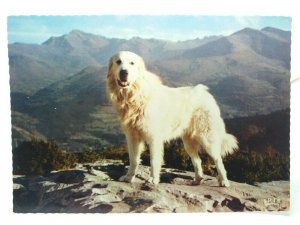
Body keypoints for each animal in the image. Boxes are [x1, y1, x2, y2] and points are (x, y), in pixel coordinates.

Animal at [106, 51, 238, 187]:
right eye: (118, 62)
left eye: (132, 63)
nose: (124, 72)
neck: (134, 96)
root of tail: (205, 92)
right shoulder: (132, 137)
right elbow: (133, 159)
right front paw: (128, 177)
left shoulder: (154, 137)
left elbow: (154, 160)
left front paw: (153, 180)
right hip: (188, 142)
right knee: (197, 160)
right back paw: (197, 179)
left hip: (207, 138)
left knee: (218, 159)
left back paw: (224, 181)